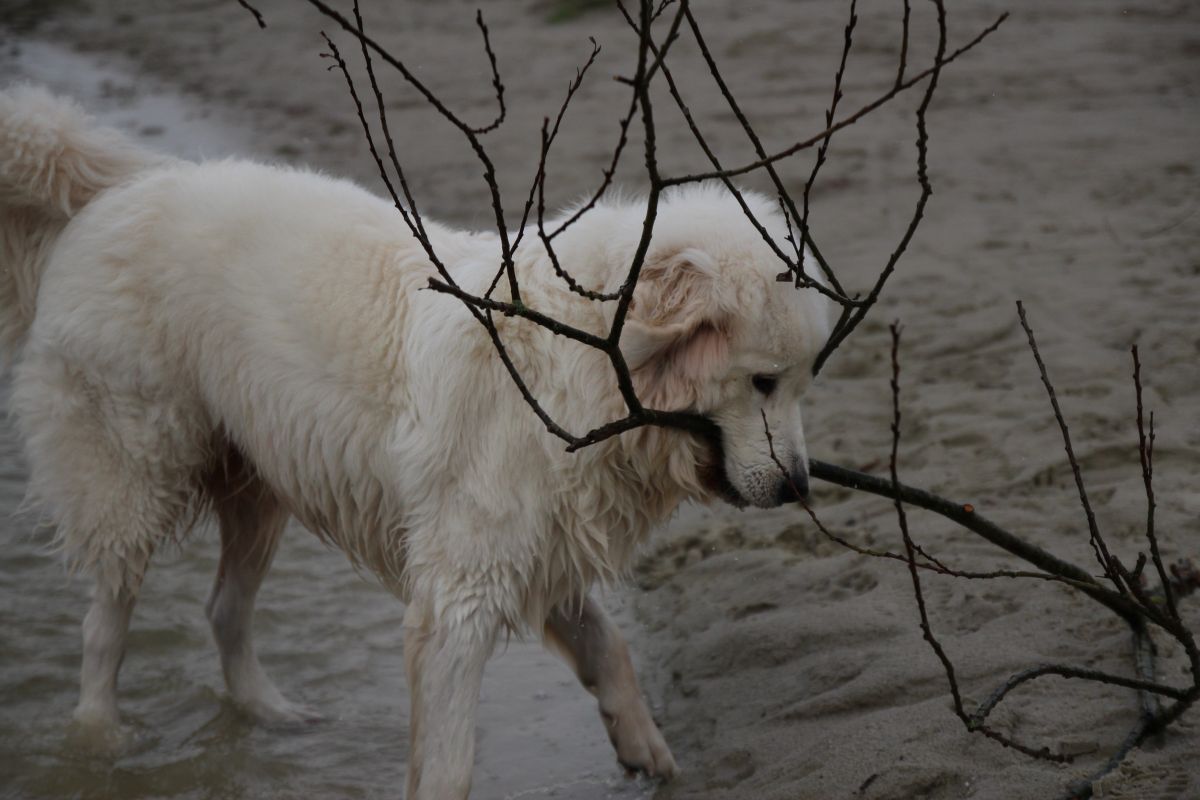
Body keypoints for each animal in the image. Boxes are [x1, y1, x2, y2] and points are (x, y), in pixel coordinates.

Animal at [0, 85, 830, 799]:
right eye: (762, 382)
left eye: (802, 385)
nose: (799, 486)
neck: (582, 358)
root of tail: (113, 193)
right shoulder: (461, 592)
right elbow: (451, 762)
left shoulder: (537, 549)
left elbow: (608, 647)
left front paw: (645, 748)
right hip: (129, 475)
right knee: (104, 625)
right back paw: (99, 742)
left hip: (258, 483)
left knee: (223, 609)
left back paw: (269, 715)